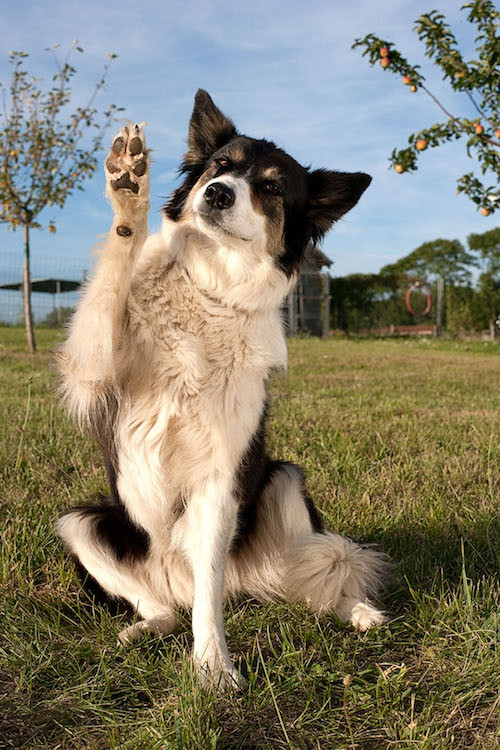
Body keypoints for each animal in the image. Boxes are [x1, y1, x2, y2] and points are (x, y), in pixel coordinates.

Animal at [57, 91, 386, 692]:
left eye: (273, 188)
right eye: (219, 166)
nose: (216, 193)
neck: (210, 288)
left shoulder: (220, 478)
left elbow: (211, 594)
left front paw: (212, 667)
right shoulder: (91, 370)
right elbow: (113, 279)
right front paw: (128, 190)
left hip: (283, 479)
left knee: (310, 579)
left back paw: (357, 610)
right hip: (85, 524)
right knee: (162, 609)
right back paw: (145, 628)